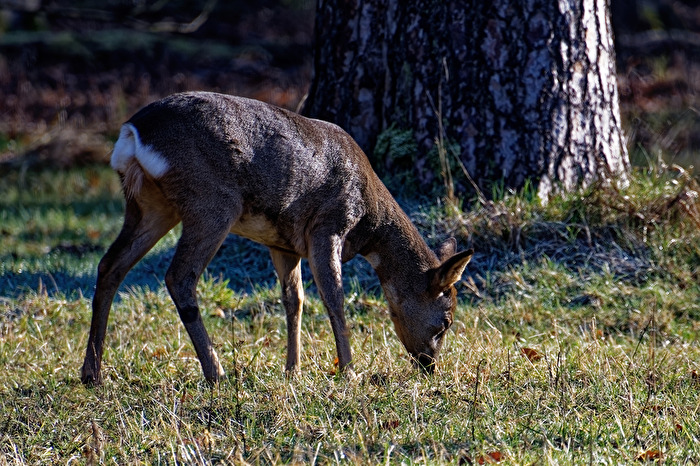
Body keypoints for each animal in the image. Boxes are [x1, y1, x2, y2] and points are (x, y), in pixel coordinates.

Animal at [80, 91, 473, 386]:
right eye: (446, 321)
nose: (429, 366)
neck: (368, 224)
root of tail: (132, 134)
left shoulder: (282, 243)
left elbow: (294, 300)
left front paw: (292, 369)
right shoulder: (328, 225)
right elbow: (334, 297)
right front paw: (349, 371)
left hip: (149, 205)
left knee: (110, 265)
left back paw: (93, 373)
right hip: (212, 202)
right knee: (178, 276)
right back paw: (216, 372)